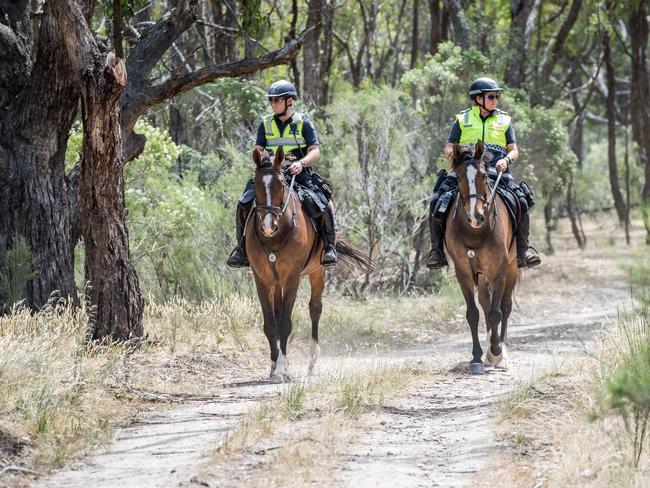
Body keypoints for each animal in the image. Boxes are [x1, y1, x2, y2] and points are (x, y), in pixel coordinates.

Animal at [247, 147, 372, 384]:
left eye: (280, 184)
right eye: (256, 184)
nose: (267, 226)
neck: (275, 237)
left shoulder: (292, 278)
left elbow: (285, 323)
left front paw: (281, 369)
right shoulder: (262, 279)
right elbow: (270, 324)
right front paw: (274, 366)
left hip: (317, 272)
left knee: (315, 309)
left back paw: (313, 361)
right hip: (277, 282)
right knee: (279, 312)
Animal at [446, 141, 516, 374]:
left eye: (484, 176)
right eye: (458, 178)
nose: (476, 216)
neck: (475, 233)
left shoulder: (499, 271)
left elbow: (497, 312)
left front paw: (495, 353)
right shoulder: (464, 273)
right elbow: (473, 313)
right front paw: (477, 357)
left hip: (512, 269)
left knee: (505, 306)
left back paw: (501, 351)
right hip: (482, 276)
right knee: (485, 303)